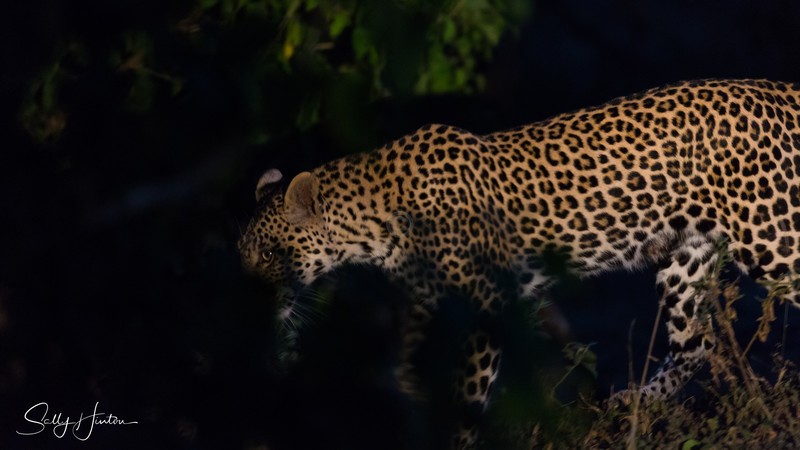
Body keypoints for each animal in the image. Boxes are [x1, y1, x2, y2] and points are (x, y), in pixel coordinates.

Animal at [238, 79, 800, 449]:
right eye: (244, 257)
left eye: (270, 254)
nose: (253, 304)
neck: (372, 227)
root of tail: (778, 88)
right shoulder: (427, 307)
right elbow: (409, 378)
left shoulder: (484, 303)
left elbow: (466, 394)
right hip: (686, 261)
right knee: (696, 345)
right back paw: (634, 403)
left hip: (773, 238)